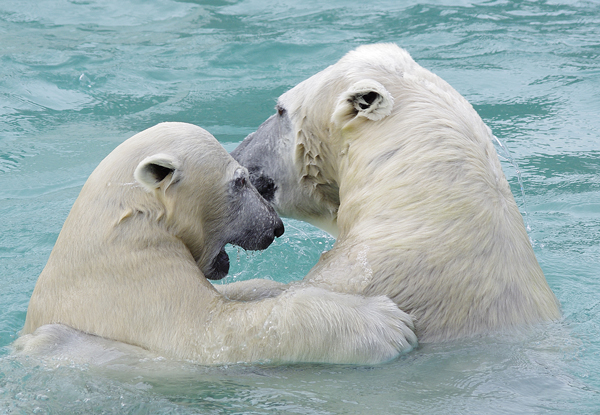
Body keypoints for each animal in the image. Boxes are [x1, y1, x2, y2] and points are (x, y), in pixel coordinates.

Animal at [15, 122, 418, 364]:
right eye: (239, 181)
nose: (276, 227)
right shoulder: (133, 286)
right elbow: (213, 334)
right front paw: (385, 322)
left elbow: (246, 291)